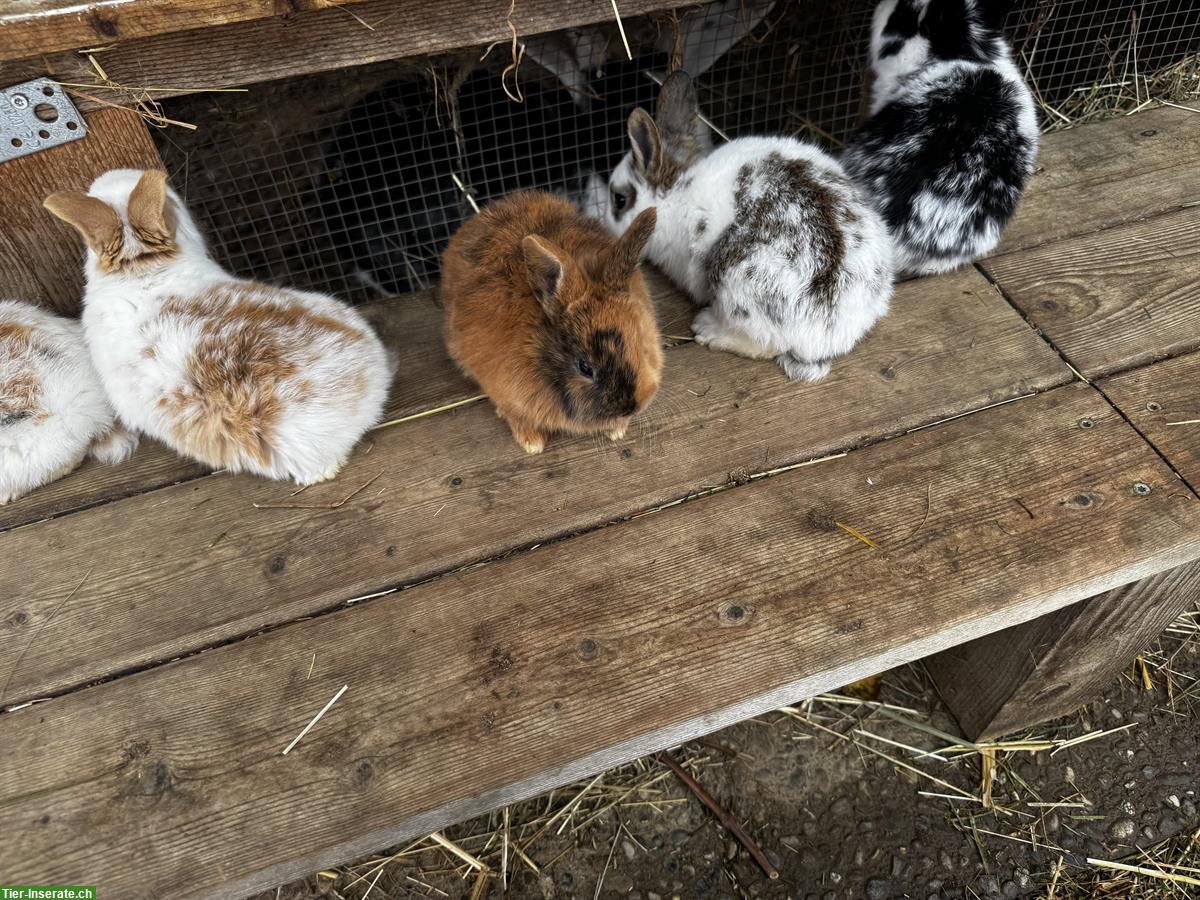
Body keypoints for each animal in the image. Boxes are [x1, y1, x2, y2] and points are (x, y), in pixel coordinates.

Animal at [441, 191, 661, 454]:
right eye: (585, 368)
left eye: (641, 344)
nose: (630, 407)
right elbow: (515, 414)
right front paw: (532, 444)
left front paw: (617, 430)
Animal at [599, 71, 893, 382]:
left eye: (619, 199)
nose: (607, 228)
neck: (674, 189)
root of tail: (826, 335)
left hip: (733, 280)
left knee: (765, 344)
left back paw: (708, 330)